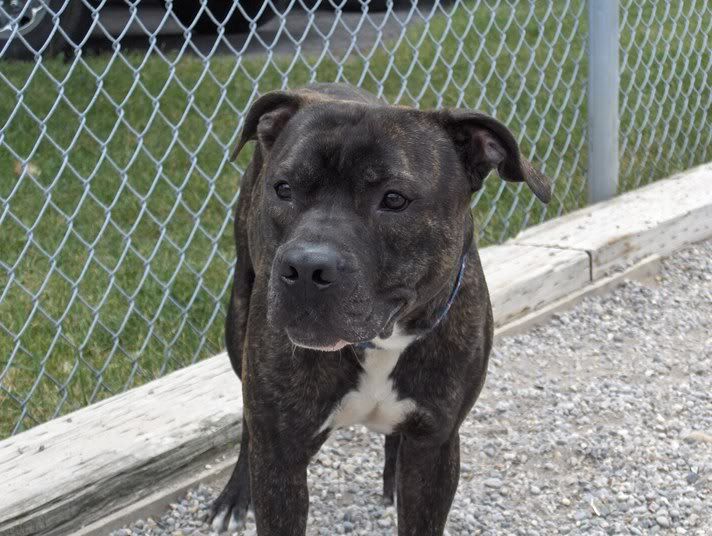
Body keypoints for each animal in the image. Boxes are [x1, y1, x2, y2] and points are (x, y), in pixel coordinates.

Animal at [209, 83, 550, 535]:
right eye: (283, 189)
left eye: (394, 200)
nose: (305, 267)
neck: (380, 343)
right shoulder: (281, 458)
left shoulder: (435, 447)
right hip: (239, 320)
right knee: (249, 425)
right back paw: (235, 495)